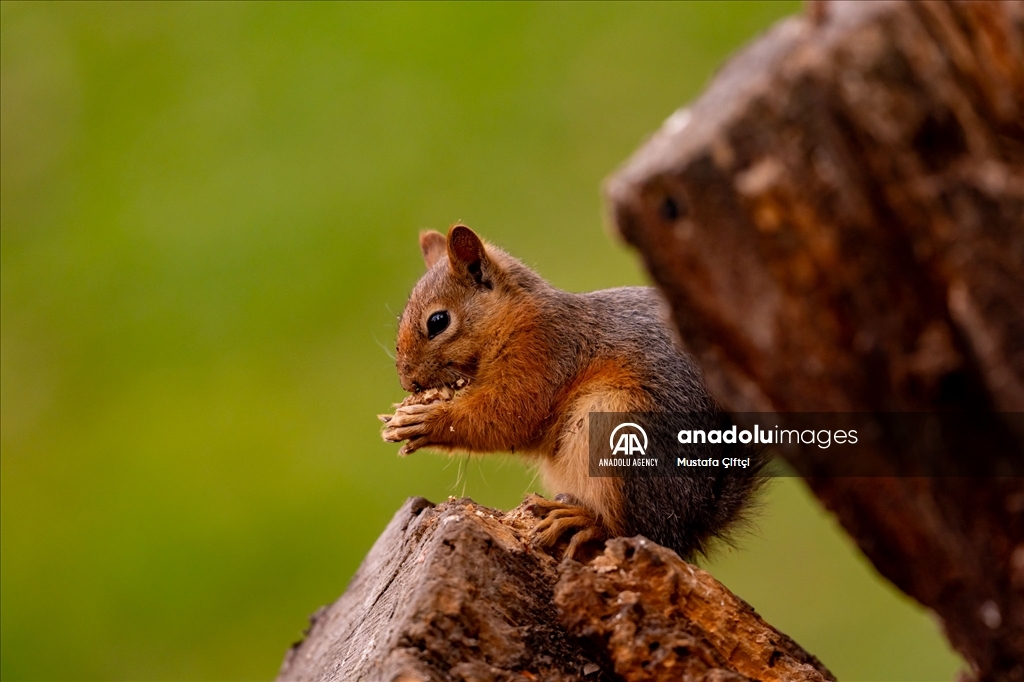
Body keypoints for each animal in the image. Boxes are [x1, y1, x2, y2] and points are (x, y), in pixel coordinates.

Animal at [380, 225, 765, 561]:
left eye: (438, 322)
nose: (409, 383)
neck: (513, 318)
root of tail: (689, 524)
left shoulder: (543, 355)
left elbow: (509, 415)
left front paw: (426, 420)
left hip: (617, 433)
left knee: (630, 529)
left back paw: (583, 521)